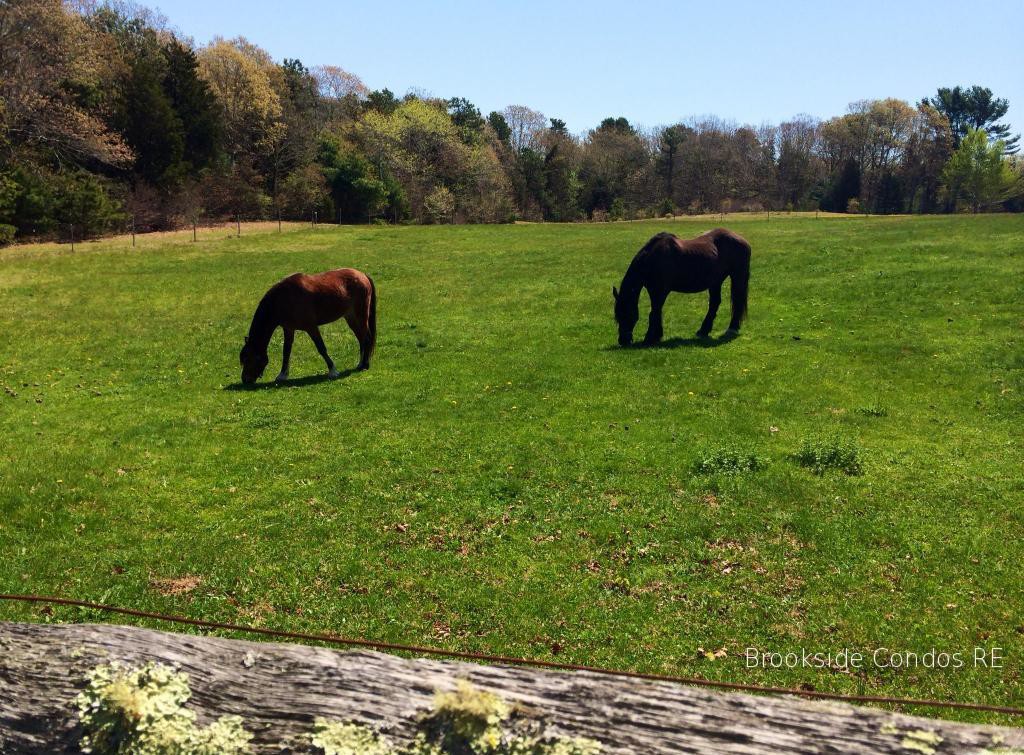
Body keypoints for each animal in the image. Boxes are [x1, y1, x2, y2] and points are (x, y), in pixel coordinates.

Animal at [239, 268, 376, 383]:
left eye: (248, 359)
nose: (245, 380)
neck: (284, 298)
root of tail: (363, 275)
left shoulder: (311, 327)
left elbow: (321, 348)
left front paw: (333, 371)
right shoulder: (288, 329)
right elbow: (286, 351)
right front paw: (282, 375)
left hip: (360, 315)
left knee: (366, 338)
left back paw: (365, 365)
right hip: (351, 318)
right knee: (361, 339)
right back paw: (360, 364)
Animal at [610, 228, 749, 346]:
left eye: (626, 313)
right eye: (617, 316)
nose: (623, 341)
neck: (653, 259)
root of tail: (742, 239)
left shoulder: (659, 291)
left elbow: (654, 312)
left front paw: (650, 338)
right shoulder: (654, 291)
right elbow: (657, 311)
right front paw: (657, 335)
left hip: (737, 277)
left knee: (737, 302)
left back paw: (732, 328)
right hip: (715, 282)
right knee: (715, 303)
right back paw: (703, 331)